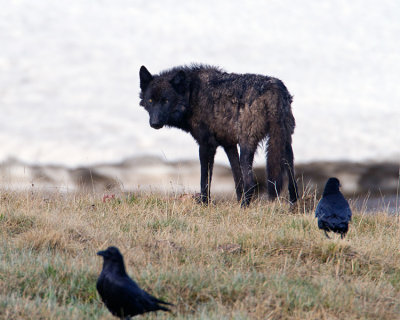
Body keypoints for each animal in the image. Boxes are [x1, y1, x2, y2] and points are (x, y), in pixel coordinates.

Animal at [139, 63, 298, 206]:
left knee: (251, 183)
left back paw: (243, 208)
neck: (191, 94)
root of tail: (275, 88)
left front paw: (204, 203)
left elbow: (205, 179)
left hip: (247, 148)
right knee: (292, 183)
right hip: (284, 145)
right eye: (150, 100)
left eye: (166, 101)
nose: (154, 123)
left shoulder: (206, 145)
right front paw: (237, 200)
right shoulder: (229, 145)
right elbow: (237, 179)